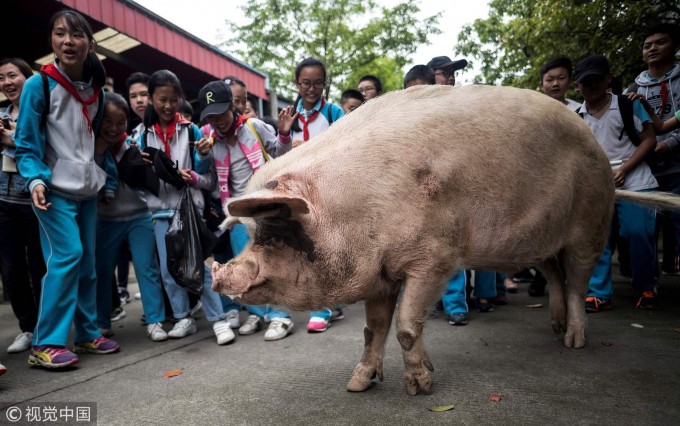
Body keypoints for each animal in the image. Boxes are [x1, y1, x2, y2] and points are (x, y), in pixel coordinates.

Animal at [211, 83, 664, 396]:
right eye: (256, 233)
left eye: (278, 233)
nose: (220, 274)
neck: (353, 211)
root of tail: (595, 143)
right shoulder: (380, 272)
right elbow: (373, 329)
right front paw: (358, 384)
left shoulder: (434, 258)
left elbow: (406, 326)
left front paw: (420, 389)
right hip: (538, 238)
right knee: (553, 272)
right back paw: (554, 328)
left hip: (591, 221)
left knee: (578, 279)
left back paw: (573, 342)